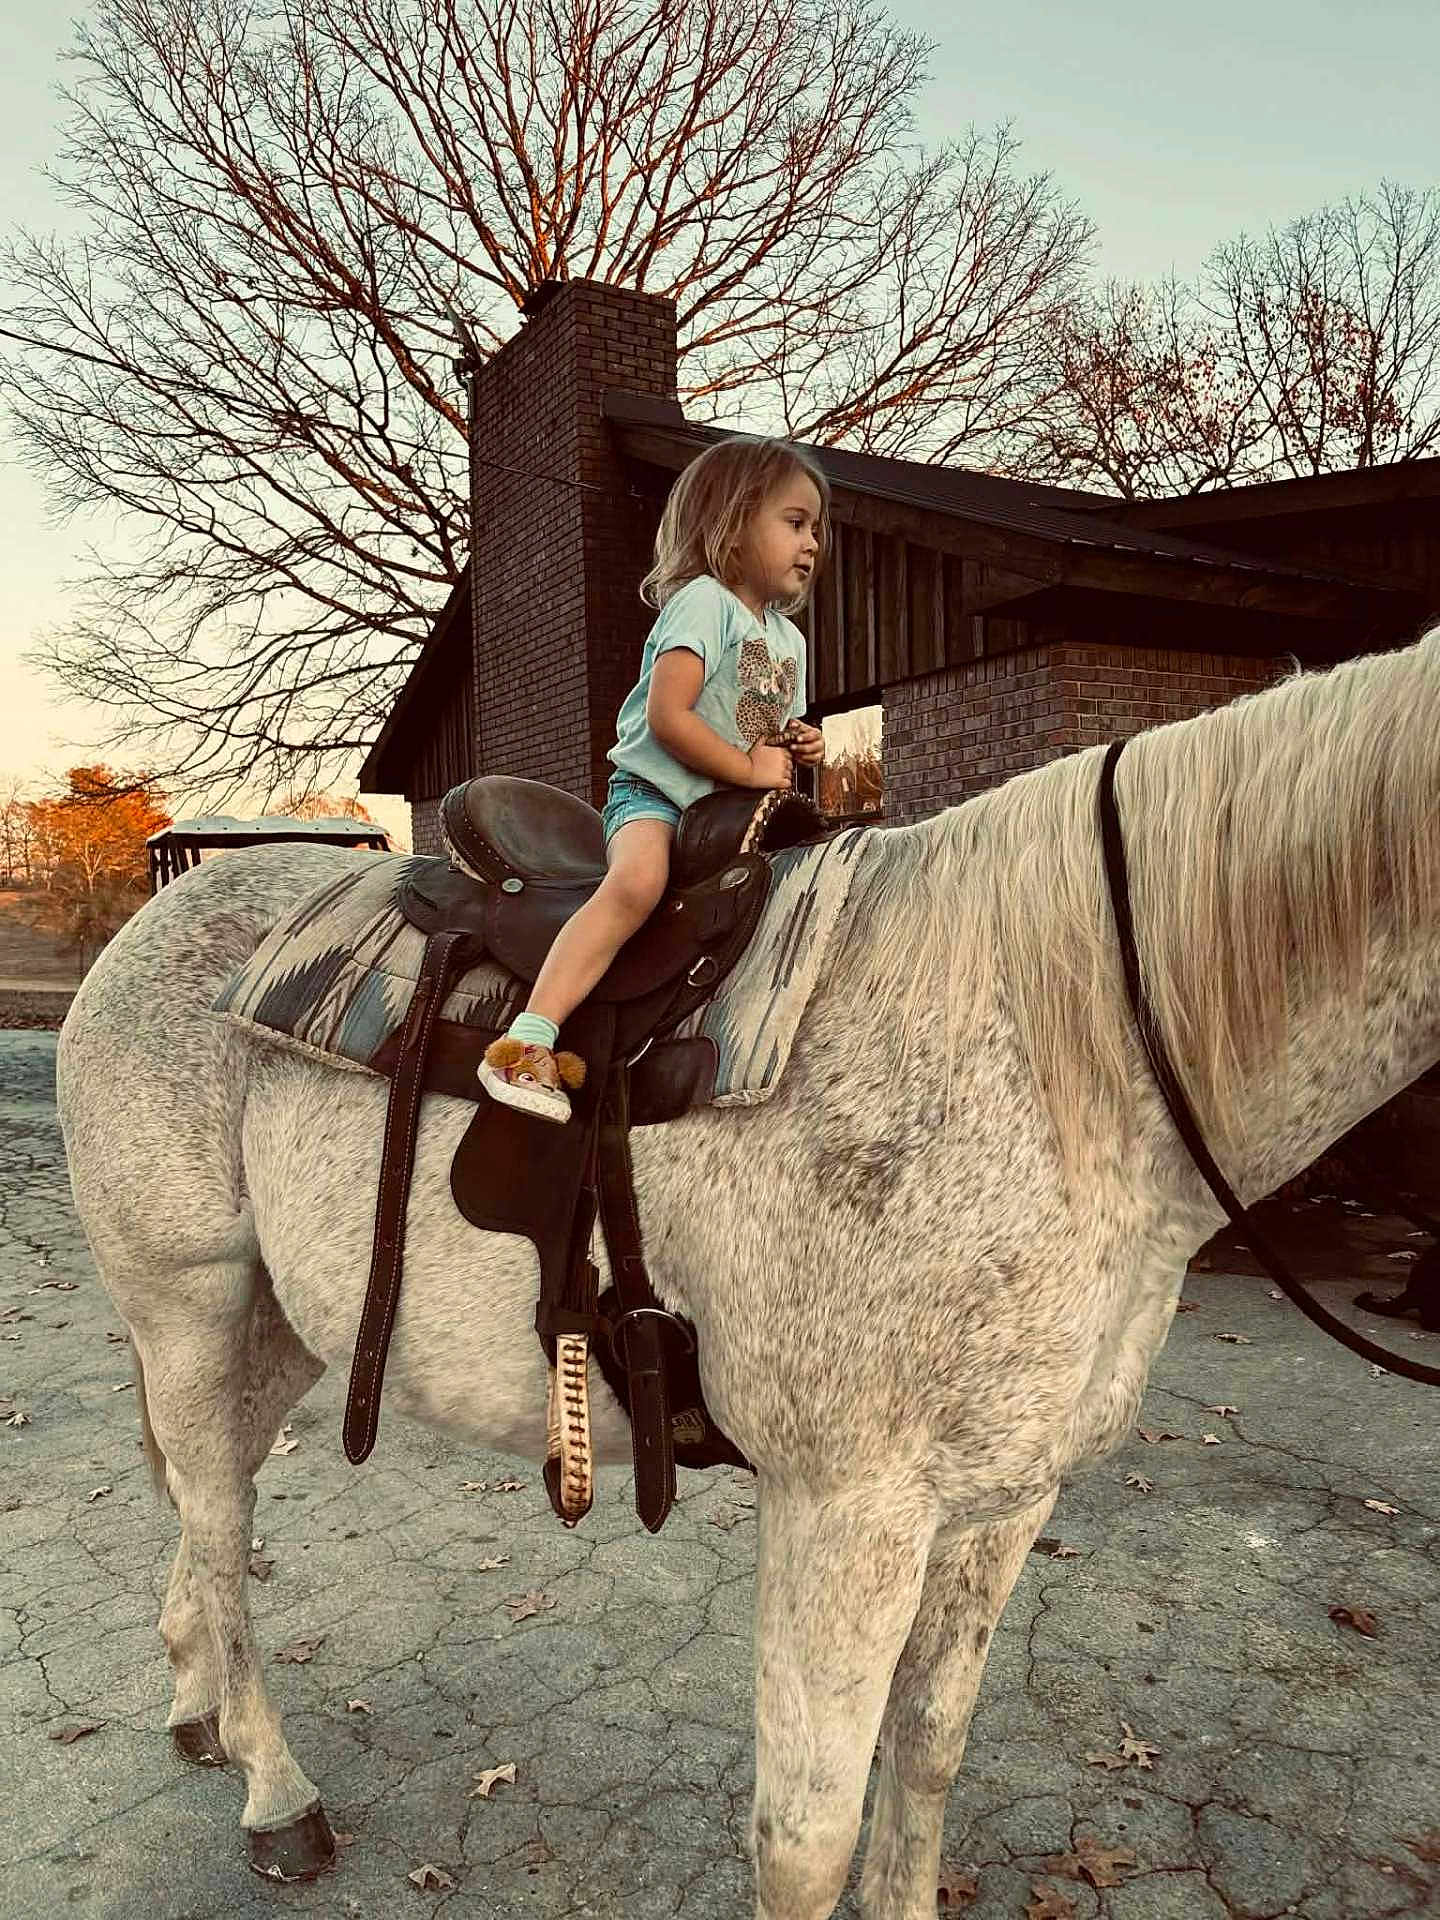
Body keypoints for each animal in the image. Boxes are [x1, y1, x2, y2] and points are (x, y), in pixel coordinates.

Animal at [55, 626, 1440, 1919]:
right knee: (221, 1527)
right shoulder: (850, 1513)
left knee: (213, 1500)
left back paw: (200, 1707)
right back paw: (276, 1794)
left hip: (286, 1324)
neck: (1062, 1053)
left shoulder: (1002, 1501)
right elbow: (806, 1839)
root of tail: (147, 928)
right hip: (188, 1308)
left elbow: (927, 1756)